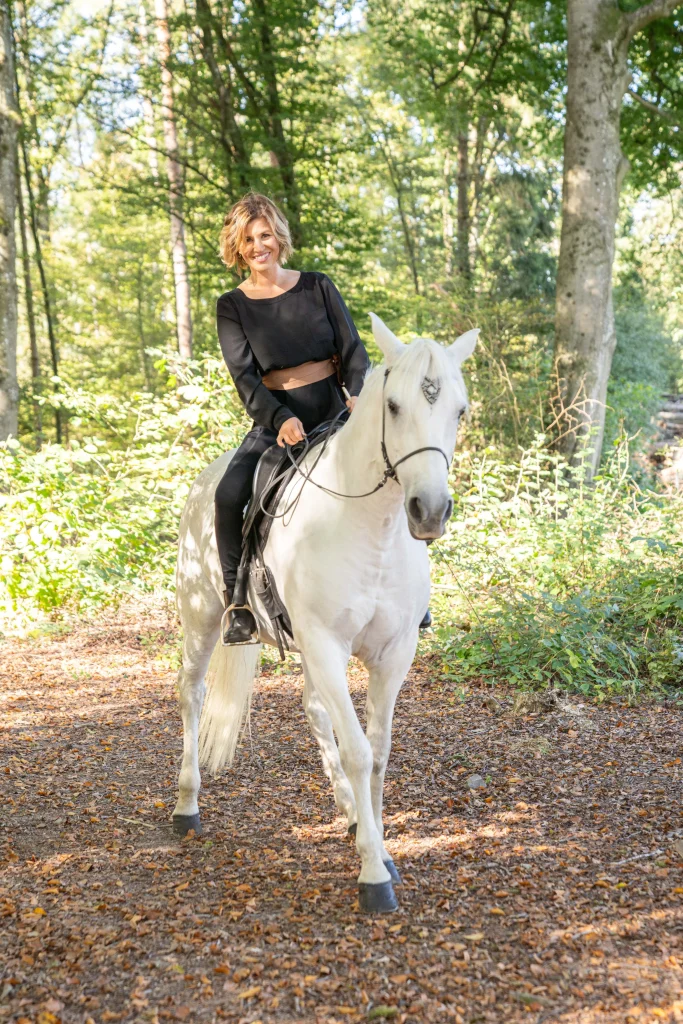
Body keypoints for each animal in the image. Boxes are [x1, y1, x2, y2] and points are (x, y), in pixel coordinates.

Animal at [172, 313, 478, 914]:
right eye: (393, 407)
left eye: (460, 410)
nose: (429, 512)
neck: (373, 529)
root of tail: (205, 480)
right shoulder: (327, 645)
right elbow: (357, 750)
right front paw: (374, 875)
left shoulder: (392, 654)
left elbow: (377, 754)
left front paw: (377, 843)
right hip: (203, 620)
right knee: (192, 695)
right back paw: (186, 807)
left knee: (315, 711)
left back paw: (349, 812)